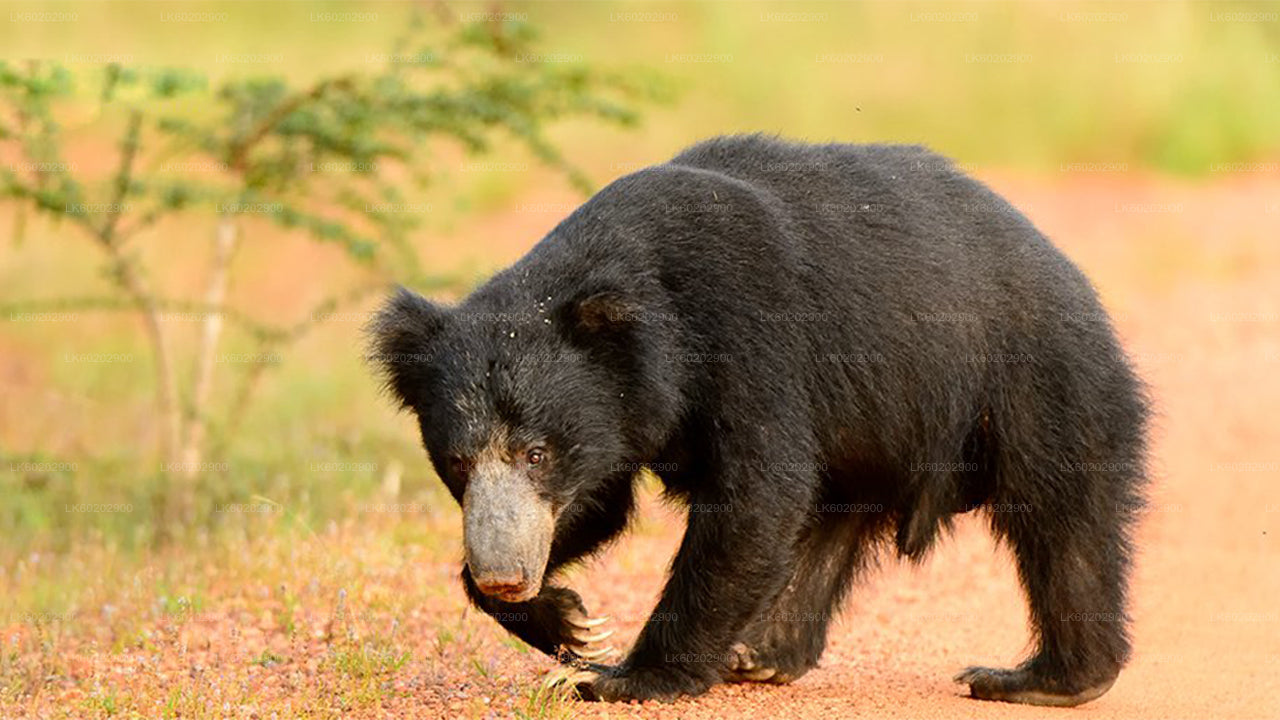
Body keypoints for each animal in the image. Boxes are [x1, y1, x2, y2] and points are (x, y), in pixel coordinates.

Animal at [371, 133, 1152, 702]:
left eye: (537, 452)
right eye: (459, 461)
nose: (506, 576)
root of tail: (1068, 270)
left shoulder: (750, 341)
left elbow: (755, 498)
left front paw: (621, 674)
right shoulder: (621, 416)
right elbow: (601, 505)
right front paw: (566, 622)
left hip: (1035, 376)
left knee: (1064, 519)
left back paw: (1041, 679)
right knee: (833, 520)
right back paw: (765, 656)